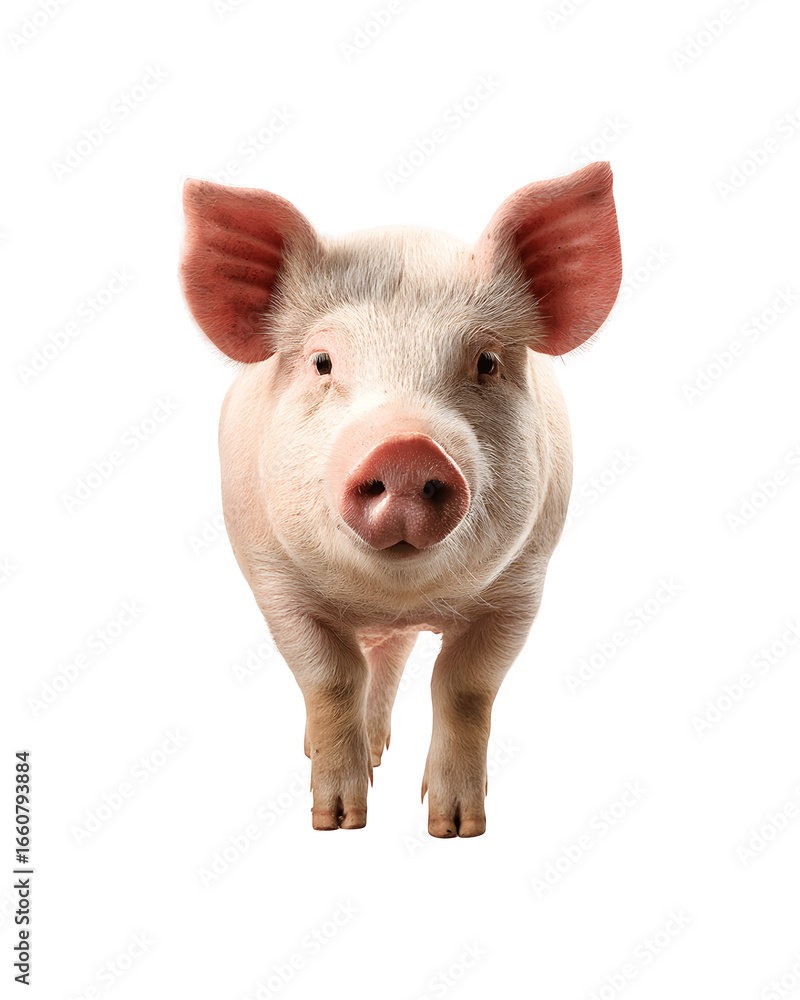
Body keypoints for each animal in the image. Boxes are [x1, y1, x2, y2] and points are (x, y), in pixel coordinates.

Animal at [180, 161, 621, 837]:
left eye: (486, 361)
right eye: (323, 361)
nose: (408, 449)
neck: (394, 596)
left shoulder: (522, 585)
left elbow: (464, 688)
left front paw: (455, 829)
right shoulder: (272, 579)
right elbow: (331, 678)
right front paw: (337, 823)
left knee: (389, 657)